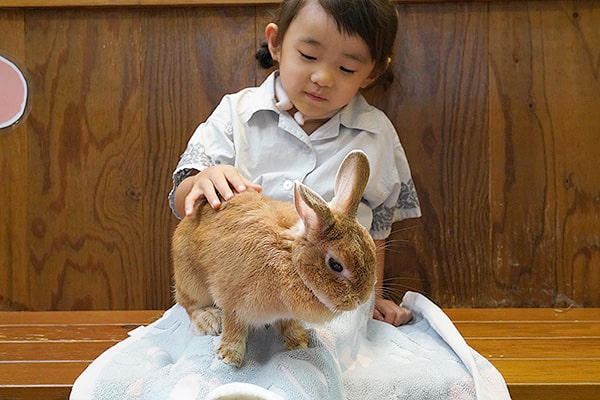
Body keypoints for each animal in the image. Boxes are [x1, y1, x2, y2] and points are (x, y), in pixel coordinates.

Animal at [171, 149, 376, 366]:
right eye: (336, 265)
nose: (362, 300)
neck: (291, 262)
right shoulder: (233, 302)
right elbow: (234, 327)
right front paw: (229, 356)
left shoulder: (285, 314)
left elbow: (287, 324)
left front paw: (299, 341)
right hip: (192, 283)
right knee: (189, 305)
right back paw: (209, 319)